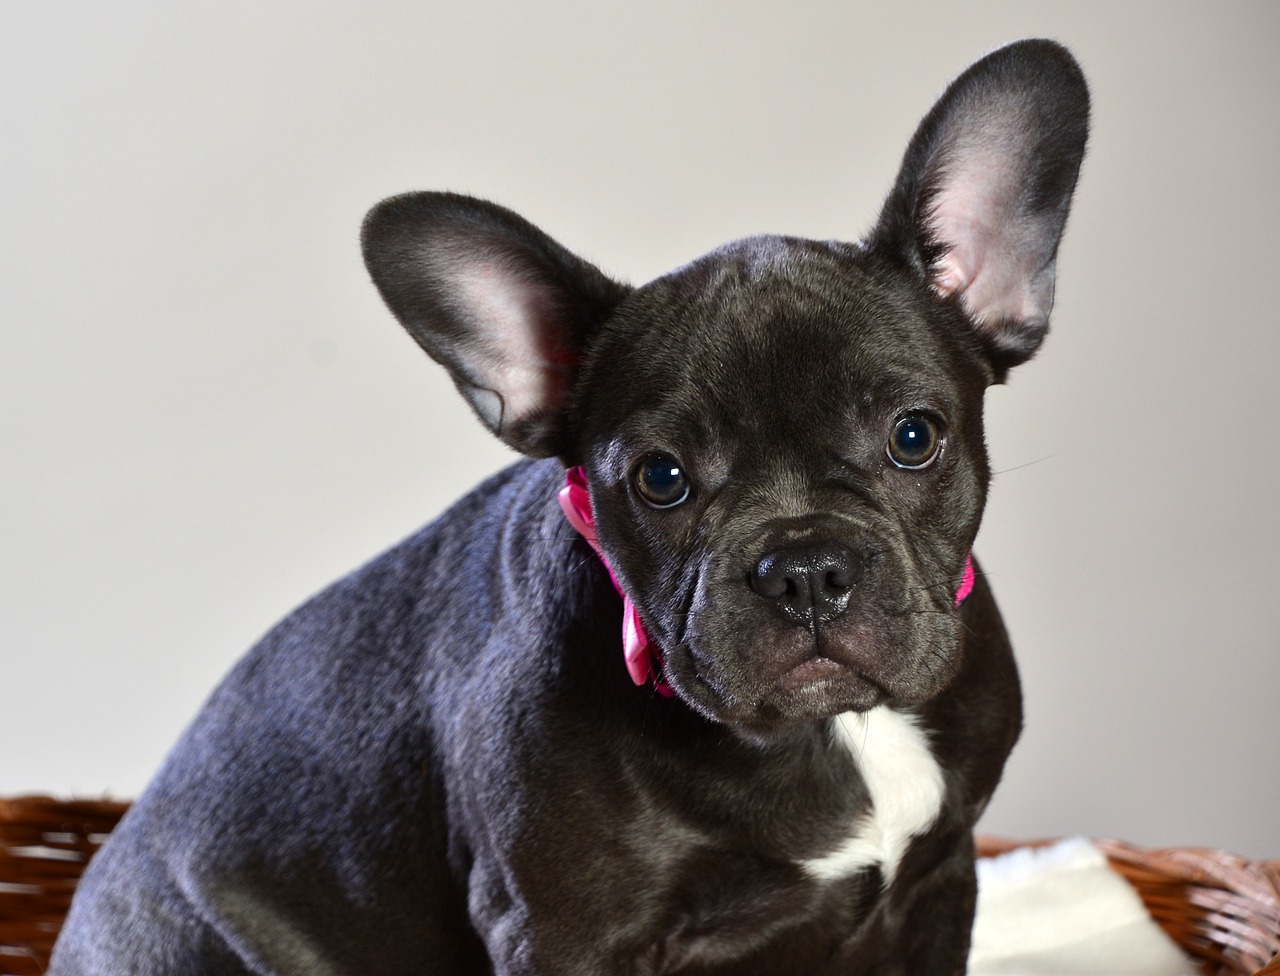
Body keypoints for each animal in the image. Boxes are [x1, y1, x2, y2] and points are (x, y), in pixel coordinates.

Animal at [52, 36, 1090, 968]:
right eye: (661, 480)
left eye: (913, 437)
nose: (803, 569)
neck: (834, 732)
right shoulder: (562, 934)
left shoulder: (941, 879)